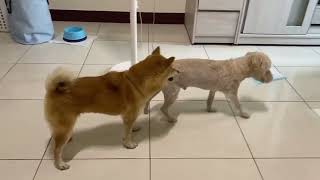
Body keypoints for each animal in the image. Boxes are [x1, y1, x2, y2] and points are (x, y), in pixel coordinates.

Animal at [44, 46, 175, 170]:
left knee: (55, 134)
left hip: (63, 125)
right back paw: (60, 164)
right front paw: (129, 144)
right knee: (57, 149)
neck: (135, 83)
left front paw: (134, 127)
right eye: (172, 69)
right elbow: (127, 134)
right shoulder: (130, 115)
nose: (178, 71)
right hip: (65, 125)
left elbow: (130, 127)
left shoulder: (128, 116)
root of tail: (54, 90)